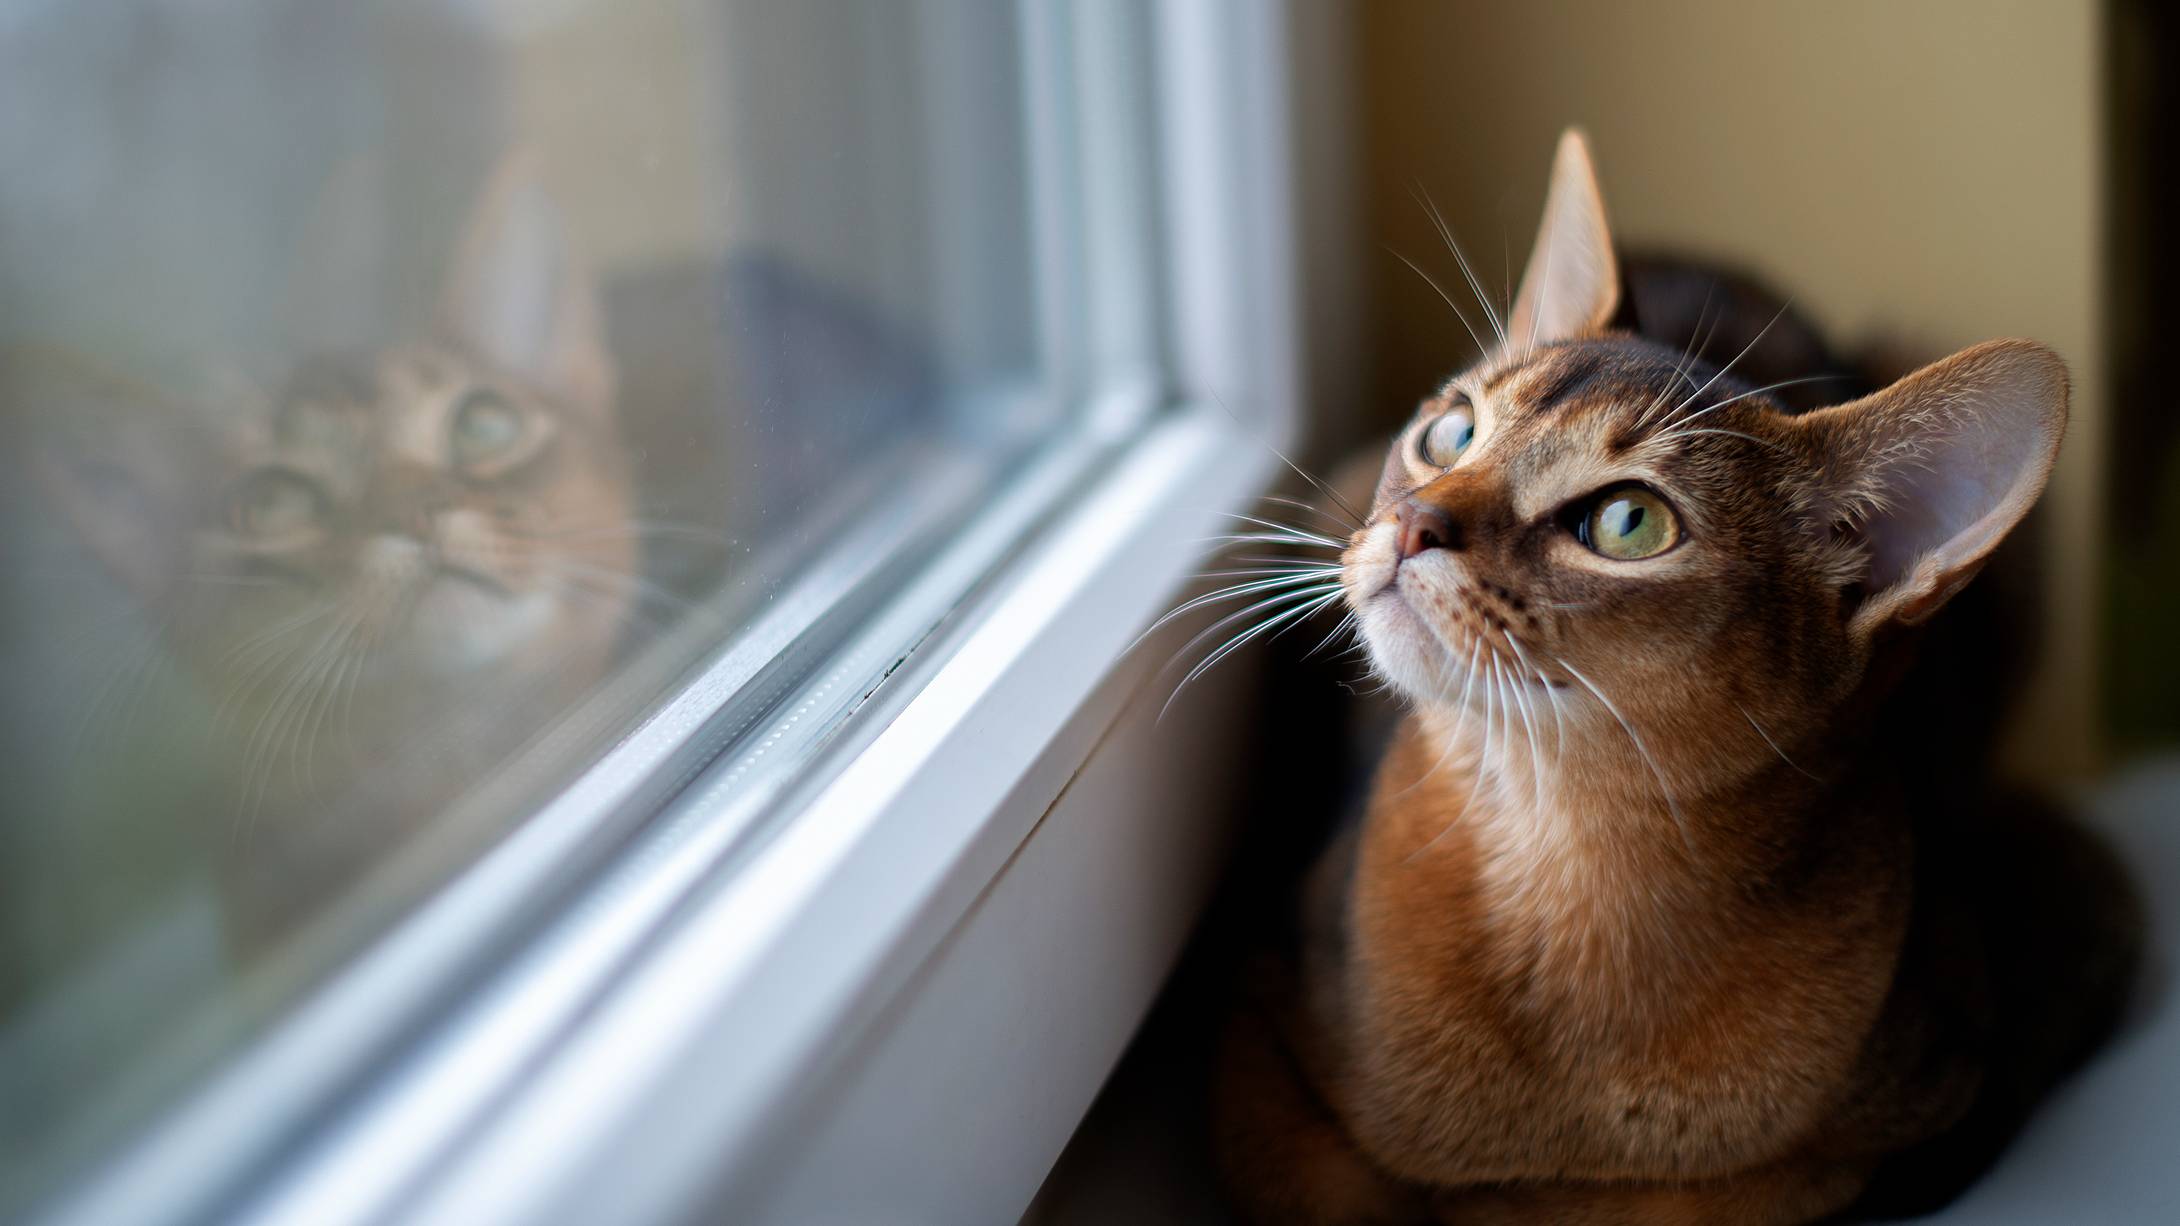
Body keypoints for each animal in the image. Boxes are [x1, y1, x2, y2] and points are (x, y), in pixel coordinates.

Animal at [1220, 131, 2136, 1221]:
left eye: (1628, 522)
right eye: (1452, 432)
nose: (1410, 523)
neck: (1567, 869)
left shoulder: (2032, 965)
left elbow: (1722, 1193)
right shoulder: (1249, 1021)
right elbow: (1341, 1183)